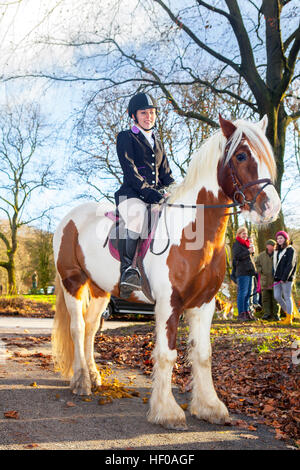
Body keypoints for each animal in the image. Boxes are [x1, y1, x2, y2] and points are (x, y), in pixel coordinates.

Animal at [52, 114, 282, 430]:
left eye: (267, 155)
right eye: (242, 155)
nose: (271, 207)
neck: (194, 233)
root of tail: (69, 218)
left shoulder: (204, 304)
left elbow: (203, 354)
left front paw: (210, 406)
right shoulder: (169, 303)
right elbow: (166, 354)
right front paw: (167, 410)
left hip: (100, 290)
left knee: (90, 328)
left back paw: (94, 376)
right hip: (73, 282)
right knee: (77, 328)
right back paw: (81, 381)